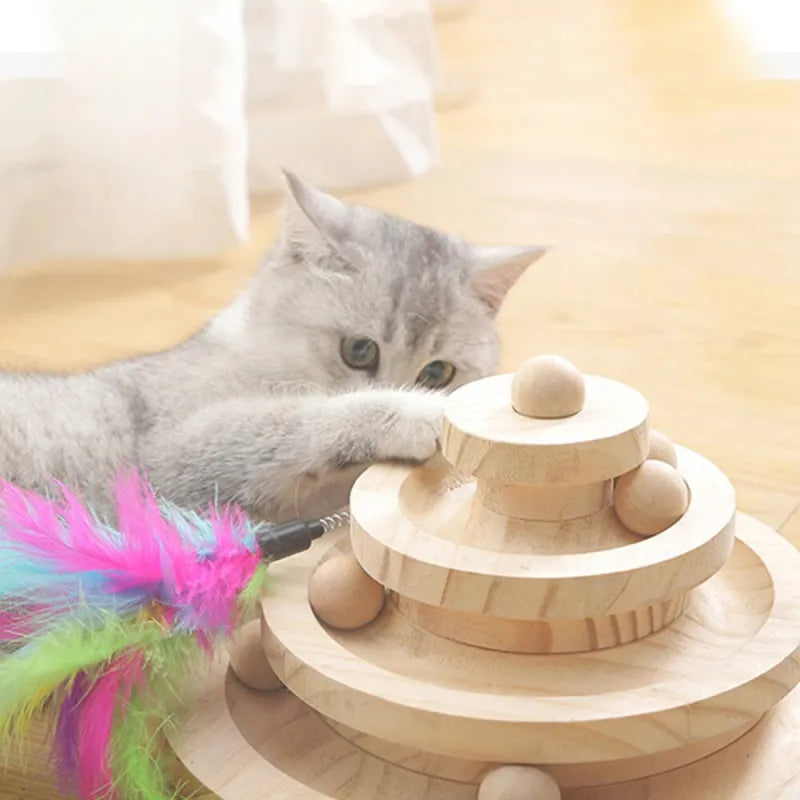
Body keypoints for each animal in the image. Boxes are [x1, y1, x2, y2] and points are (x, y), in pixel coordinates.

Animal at [0, 173, 544, 520]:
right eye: (359, 351)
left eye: (438, 372)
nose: (413, 387)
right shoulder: (170, 451)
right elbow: (288, 419)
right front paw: (416, 413)